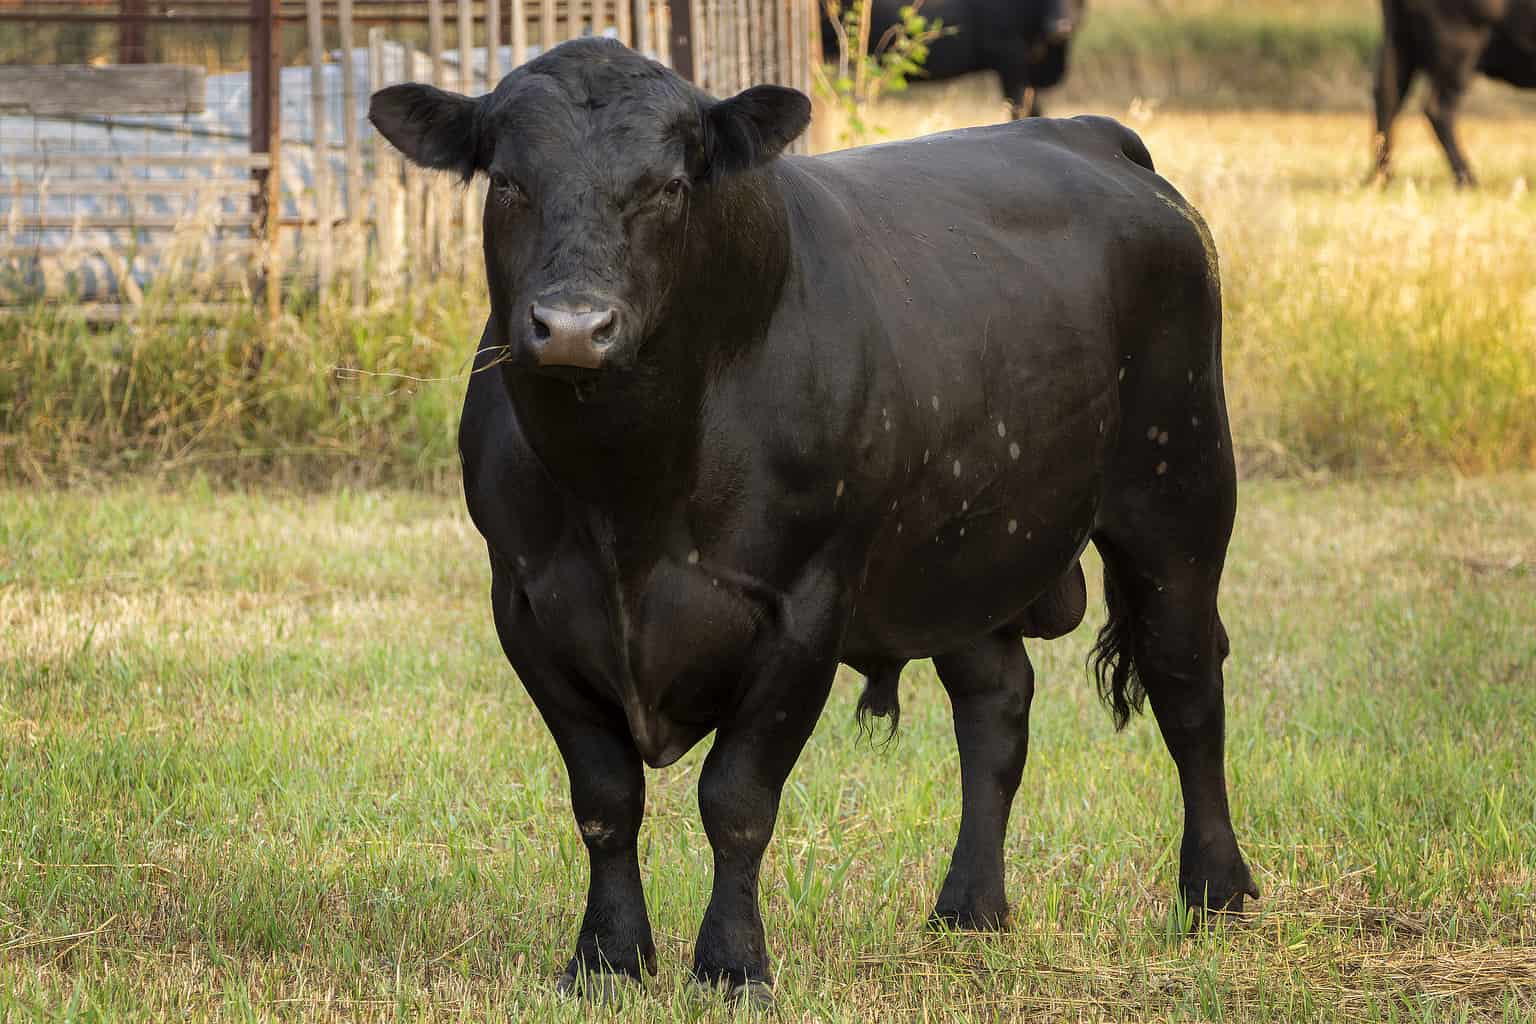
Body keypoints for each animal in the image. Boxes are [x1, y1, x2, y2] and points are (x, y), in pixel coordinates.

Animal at [369, 37, 1256, 1006]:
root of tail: (1093, 135)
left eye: (669, 186)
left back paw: (1216, 892)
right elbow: (605, 799)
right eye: (507, 182)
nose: (572, 326)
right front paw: (606, 960)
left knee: (1185, 682)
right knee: (995, 705)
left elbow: (737, 799)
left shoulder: (801, 608)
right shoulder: (527, 605)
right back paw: (970, 907)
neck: (625, 497)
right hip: (957, 554)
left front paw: (731, 965)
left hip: (1178, 495)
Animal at [1370, 0, 1536, 186]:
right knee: (1437, 110)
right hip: (1460, 55)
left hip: (1398, 41)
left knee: (1388, 97)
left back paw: (1381, 179)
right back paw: (1468, 180)